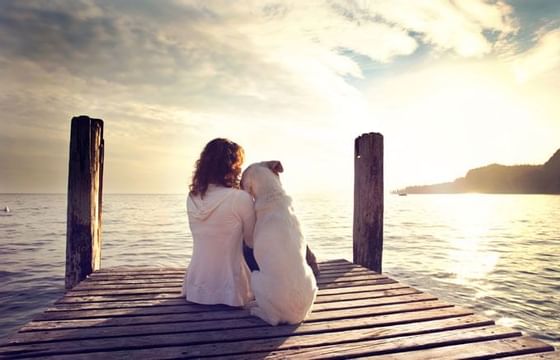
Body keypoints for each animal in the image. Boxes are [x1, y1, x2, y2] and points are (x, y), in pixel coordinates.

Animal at [241, 162, 318, 324]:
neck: (272, 193)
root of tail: (294, 318)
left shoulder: (250, 240)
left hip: (255, 277)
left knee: (272, 319)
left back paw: (255, 310)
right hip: (312, 279)